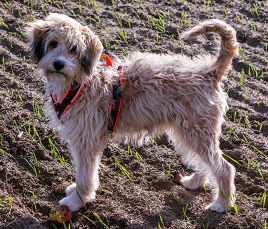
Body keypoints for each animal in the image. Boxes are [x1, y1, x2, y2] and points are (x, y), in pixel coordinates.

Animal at [27, 13, 239, 213]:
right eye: (53, 43)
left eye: (73, 48)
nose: (58, 64)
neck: (80, 83)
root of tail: (208, 72)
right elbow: (82, 171)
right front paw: (75, 192)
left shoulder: (87, 140)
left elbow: (85, 176)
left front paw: (76, 201)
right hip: (189, 134)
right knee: (206, 164)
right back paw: (195, 182)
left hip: (196, 132)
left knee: (224, 168)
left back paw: (222, 204)